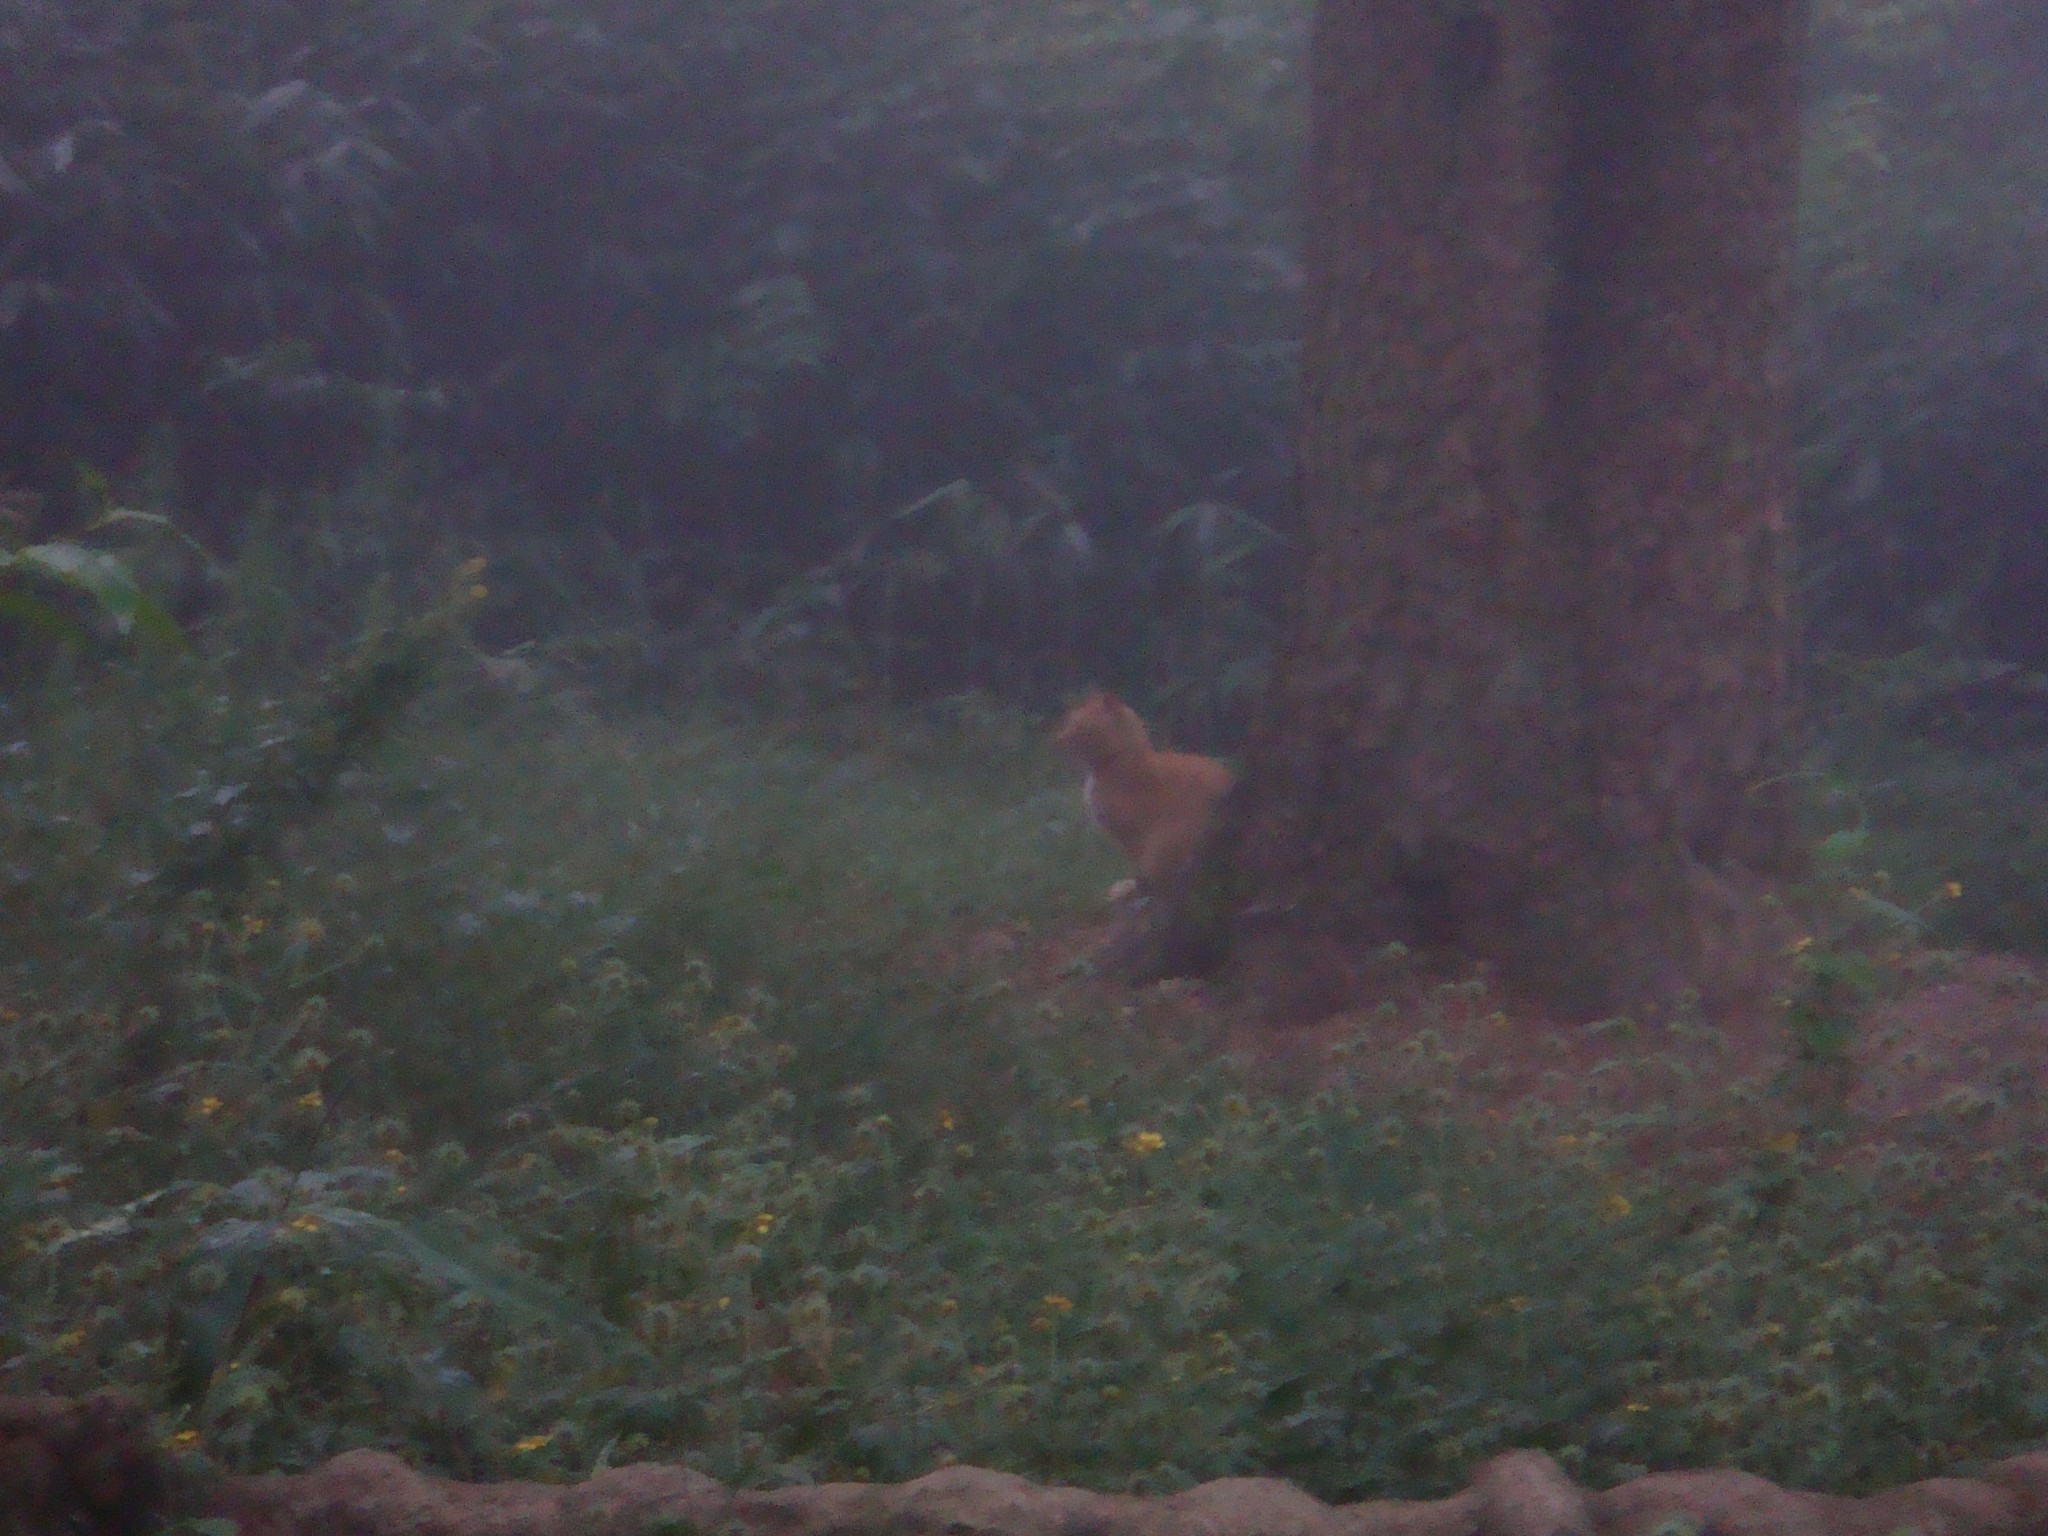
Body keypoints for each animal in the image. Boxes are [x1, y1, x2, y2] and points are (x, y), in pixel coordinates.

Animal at [1056, 696, 1228, 901]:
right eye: (1069, 720)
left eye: (1078, 723)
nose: (1059, 737)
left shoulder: (1132, 833)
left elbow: (1142, 869)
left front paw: (1132, 889)